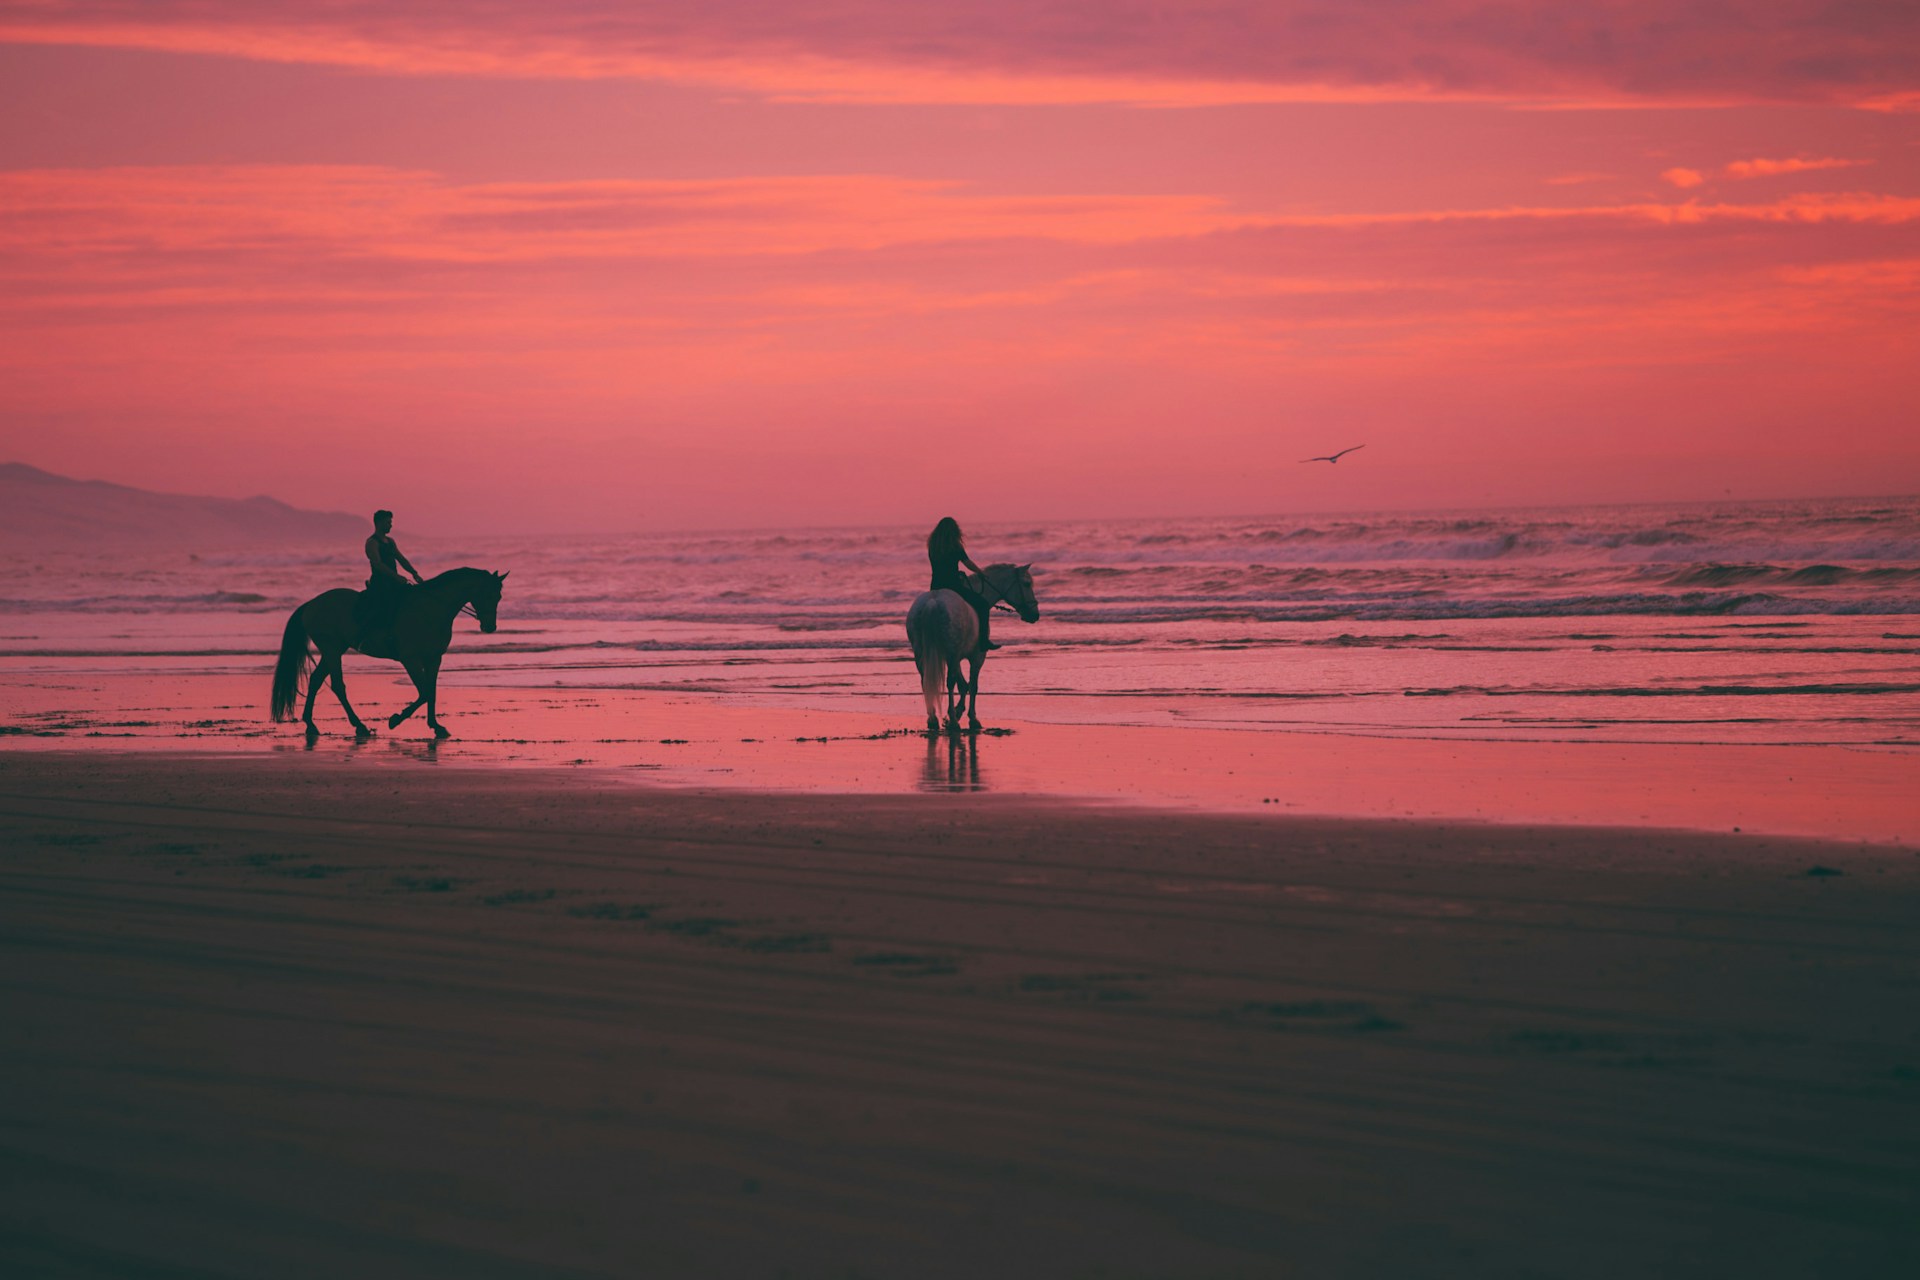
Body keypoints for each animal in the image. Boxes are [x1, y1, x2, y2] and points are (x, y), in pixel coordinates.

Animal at [274, 568, 510, 740]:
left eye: (499, 596)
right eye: (489, 594)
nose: (490, 626)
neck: (431, 610)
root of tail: (311, 604)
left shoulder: (434, 658)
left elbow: (431, 692)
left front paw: (436, 726)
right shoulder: (410, 659)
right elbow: (424, 692)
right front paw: (396, 719)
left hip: (334, 649)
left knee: (315, 680)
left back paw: (311, 724)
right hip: (332, 648)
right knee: (337, 685)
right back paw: (359, 726)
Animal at [906, 564, 1044, 736]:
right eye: (1026, 584)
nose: (1034, 615)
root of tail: (933, 602)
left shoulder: (955, 658)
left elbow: (963, 684)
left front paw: (957, 712)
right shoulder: (976, 657)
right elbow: (972, 685)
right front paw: (970, 718)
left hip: (921, 653)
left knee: (926, 681)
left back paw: (933, 720)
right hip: (951, 653)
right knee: (950, 683)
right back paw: (953, 722)